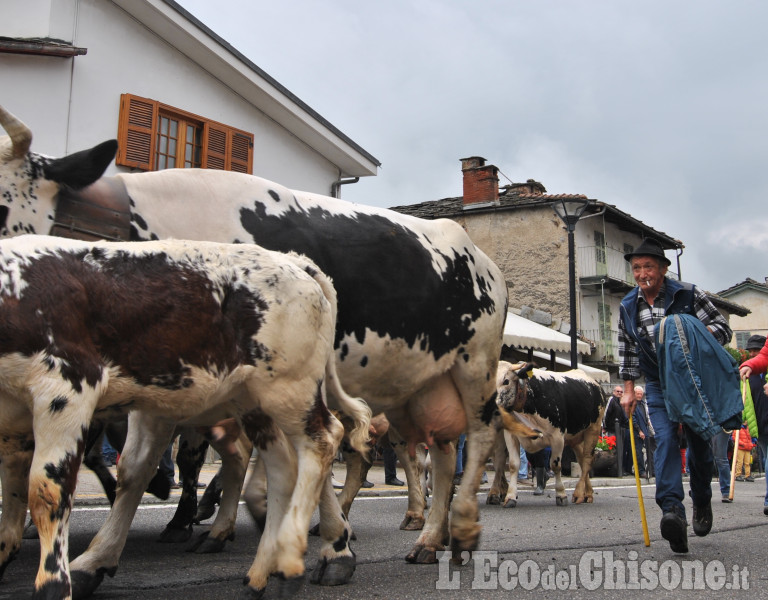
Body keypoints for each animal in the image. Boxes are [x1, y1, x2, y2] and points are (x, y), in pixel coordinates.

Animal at [0, 234, 370, 600]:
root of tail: (294, 261)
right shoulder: (13, 424)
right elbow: (14, 493)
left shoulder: (66, 388)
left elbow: (46, 491)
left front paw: (52, 585)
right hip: (254, 402)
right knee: (282, 467)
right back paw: (262, 572)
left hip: (290, 388)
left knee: (322, 441)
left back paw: (291, 561)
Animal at [492, 360, 608, 506]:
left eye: (506, 381)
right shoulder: (511, 435)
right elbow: (513, 465)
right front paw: (510, 497)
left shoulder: (557, 436)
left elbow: (555, 465)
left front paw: (561, 494)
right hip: (575, 437)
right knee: (582, 460)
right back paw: (587, 494)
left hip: (593, 430)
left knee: (587, 460)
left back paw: (578, 493)